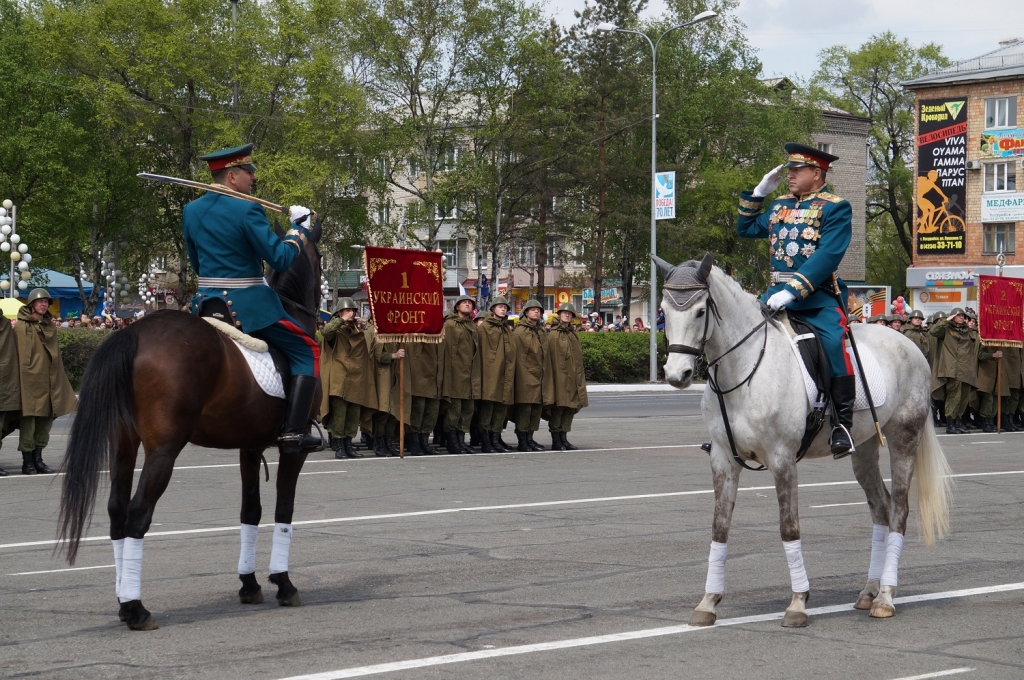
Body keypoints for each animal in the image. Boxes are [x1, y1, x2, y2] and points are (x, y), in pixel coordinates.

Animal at [55, 220, 323, 630]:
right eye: (321, 258)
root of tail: (133, 331)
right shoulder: (292, 451)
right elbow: (284, 509)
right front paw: (283, 583)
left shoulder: (249, 446)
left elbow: (250, 511)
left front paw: (249, 584)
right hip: (164, 450)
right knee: (137, 515)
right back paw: (137, 609)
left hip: (123, 445)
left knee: (117, 511)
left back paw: (123, 602)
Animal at [655, 253, 950, 626]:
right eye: (664, 310)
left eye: (699, 311)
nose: (676, 374)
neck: (744, 369)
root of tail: (910, 345)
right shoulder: (722, 459)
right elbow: (719, 528)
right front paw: (708, 602)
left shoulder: (782, 459)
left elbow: (789, 528)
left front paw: (798, 603)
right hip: (864, 448)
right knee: (880, 508)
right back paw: (869, 591)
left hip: (904, 439)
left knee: (899, 509)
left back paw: (885, 596)